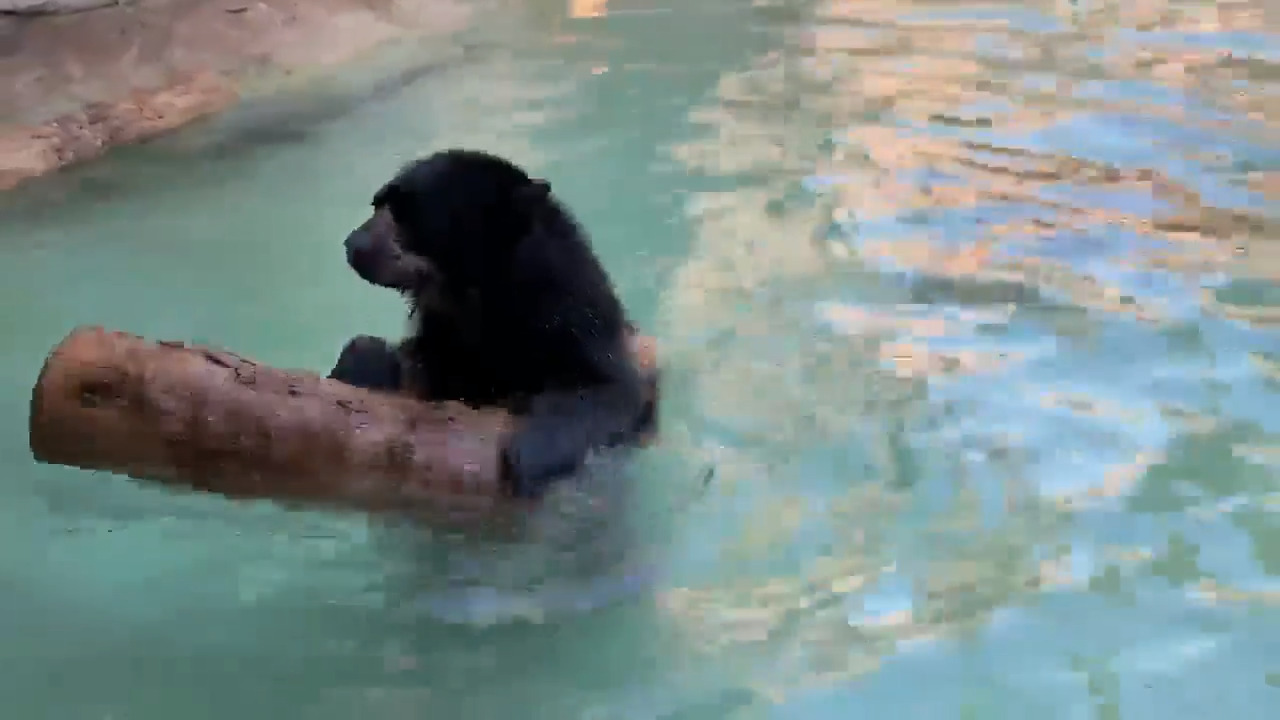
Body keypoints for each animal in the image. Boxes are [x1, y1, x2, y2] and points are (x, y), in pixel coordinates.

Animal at [328, 148, 654, 500]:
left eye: (407, 215)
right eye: (378, 203)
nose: (352, 244)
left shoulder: (573, 317)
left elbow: (608, 389)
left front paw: (532, 457)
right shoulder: (445, 335)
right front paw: (361, 365)